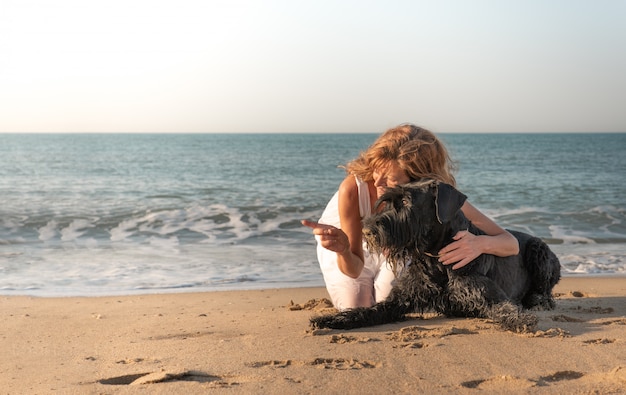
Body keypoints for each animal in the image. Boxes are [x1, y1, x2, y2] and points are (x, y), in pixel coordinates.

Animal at [310, 181, 560, 332]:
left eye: (406, 201)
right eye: (388, 201)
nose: (367, 230)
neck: (436, 258)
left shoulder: (489, 297)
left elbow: (504, 309)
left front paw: (521, 319)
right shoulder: (398, 300)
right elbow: (366, 311)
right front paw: (331, 319)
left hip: (538, 250)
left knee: (546, 291)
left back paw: (538, 302)